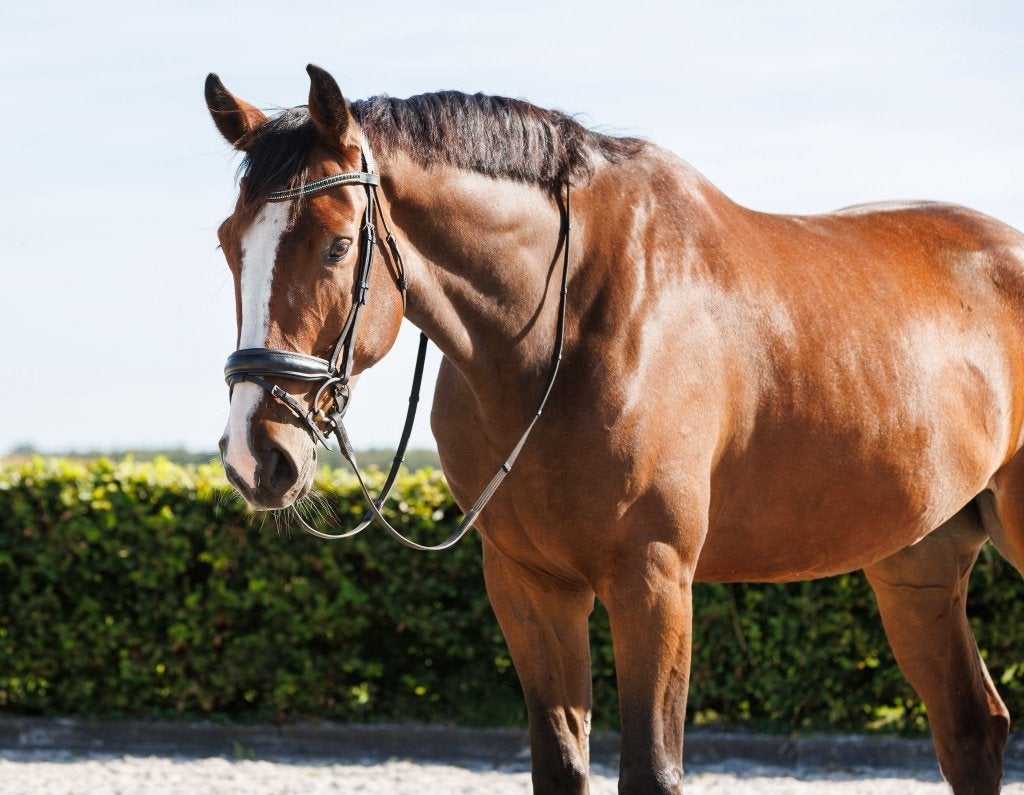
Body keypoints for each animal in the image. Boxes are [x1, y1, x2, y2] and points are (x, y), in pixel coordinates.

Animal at [205, 65, 1024, 794]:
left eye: (339, 243)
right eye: (227, 240)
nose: (258, 455)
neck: (561, 324)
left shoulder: (653, 577)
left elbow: (651, 771)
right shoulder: (529, 583)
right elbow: (561, 766)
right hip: (918, 563)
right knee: (971, 728)